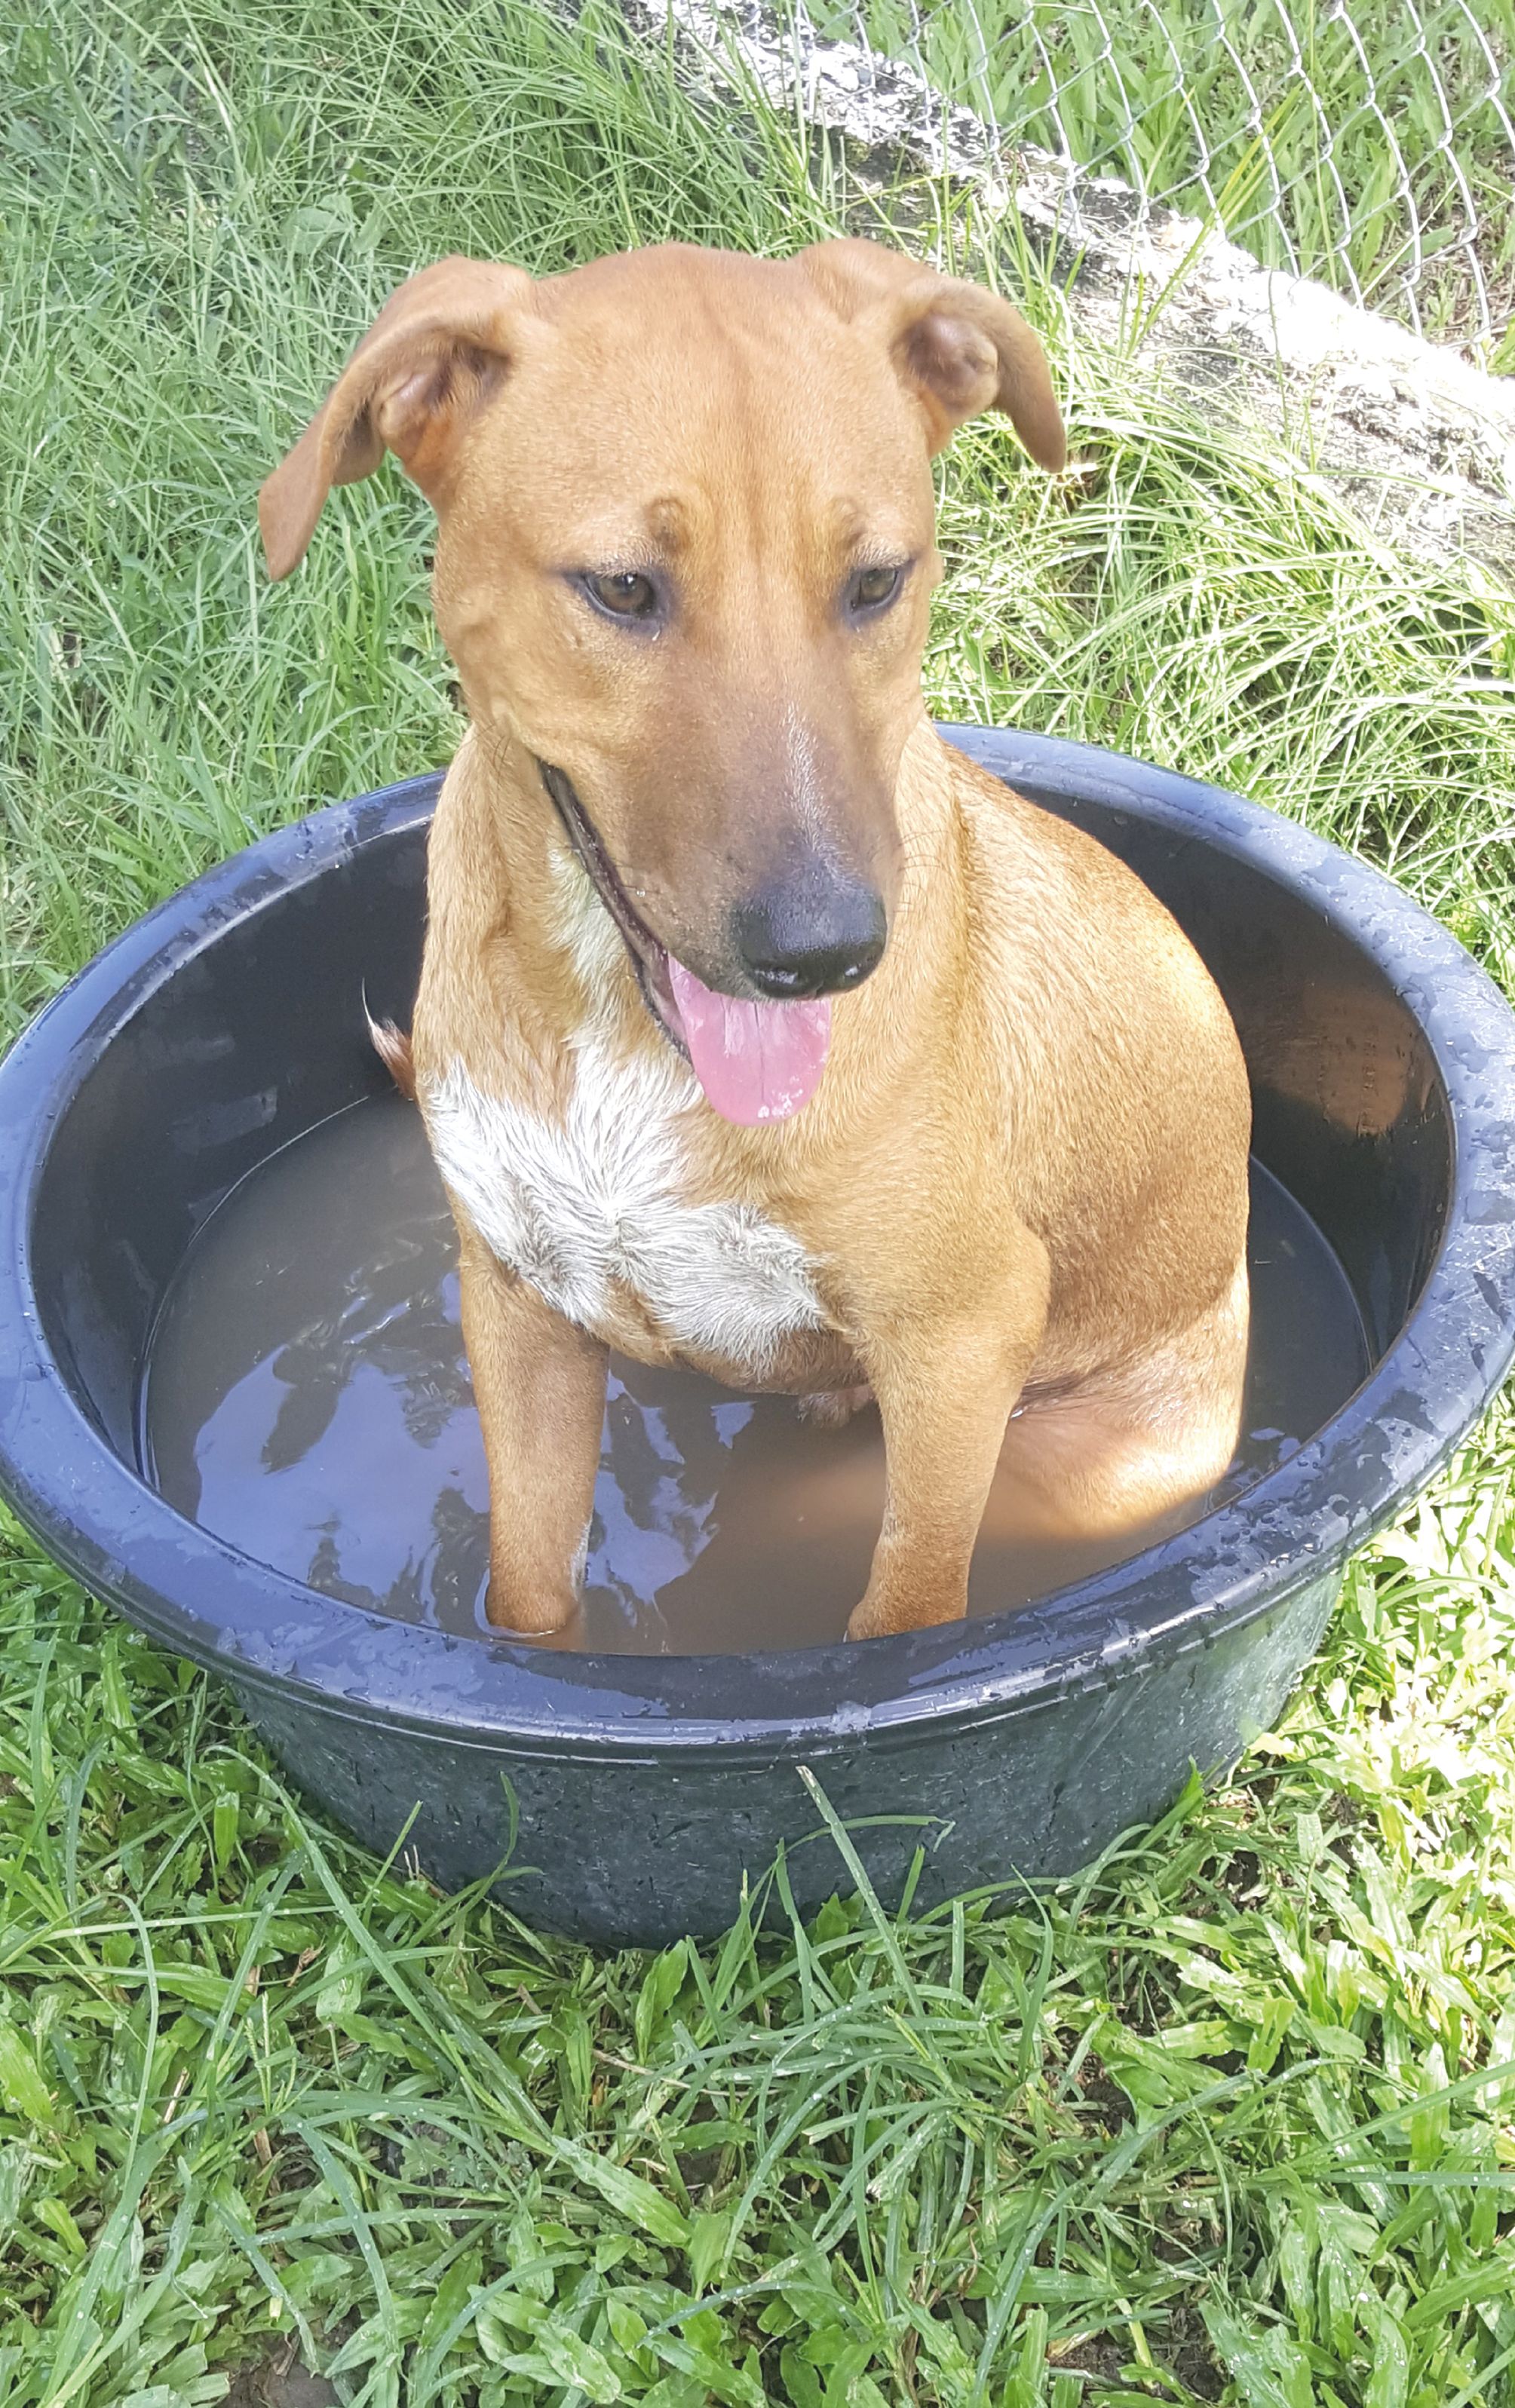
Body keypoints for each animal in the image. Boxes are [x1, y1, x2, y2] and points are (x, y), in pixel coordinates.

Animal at [262, 239, 1252, 1637]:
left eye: (875, 581)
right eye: (624, 587)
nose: (825, 953)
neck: (613, 1028)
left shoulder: (961, 1343)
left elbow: (903, 1610)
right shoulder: (516, 1310)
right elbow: (528, 1599)